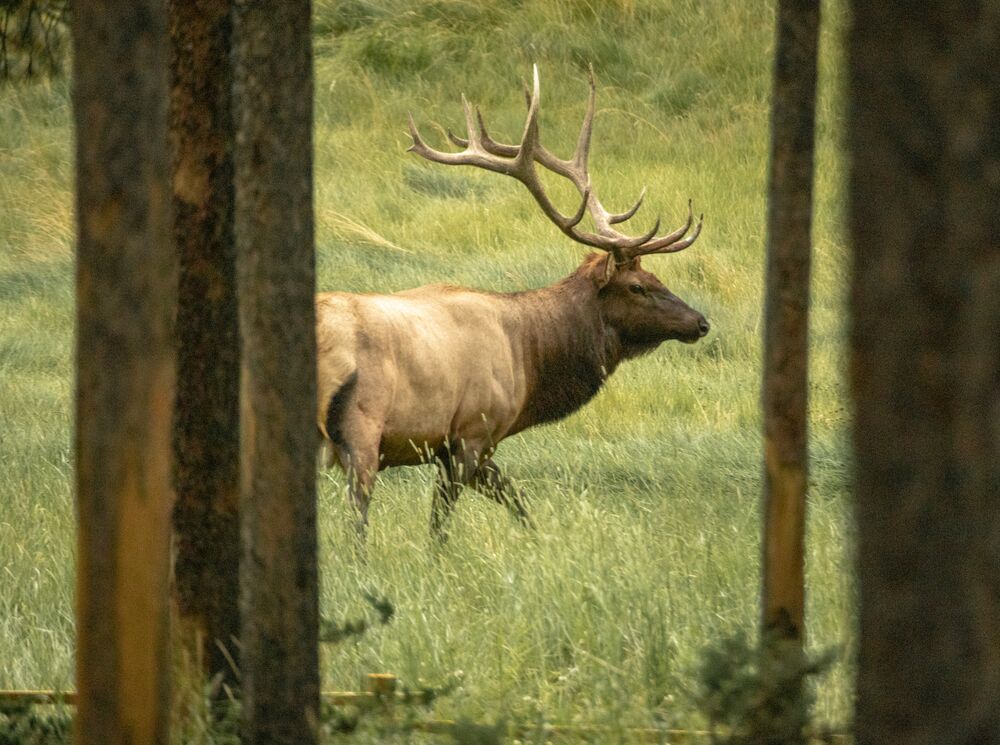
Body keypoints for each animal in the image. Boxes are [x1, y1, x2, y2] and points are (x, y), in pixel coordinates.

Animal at [316, 66, 709, 537]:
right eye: (637, 287)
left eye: (656, 277)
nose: (701, 322)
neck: (529, 359)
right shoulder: (472, 432)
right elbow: (441, 524)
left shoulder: (466, 447)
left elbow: (519, 503)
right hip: (362, 428)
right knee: (358, 517)